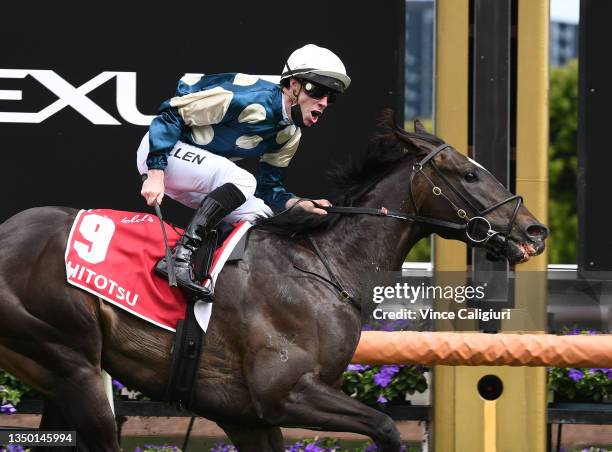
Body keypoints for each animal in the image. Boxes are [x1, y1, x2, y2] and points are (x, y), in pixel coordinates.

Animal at [0, 114, 548, 452]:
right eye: (469, 175)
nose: (535, 231)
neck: (325, 266)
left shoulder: (248, 416)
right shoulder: (284, 392)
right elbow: (387, 427)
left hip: (61, 378)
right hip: (72, 363)